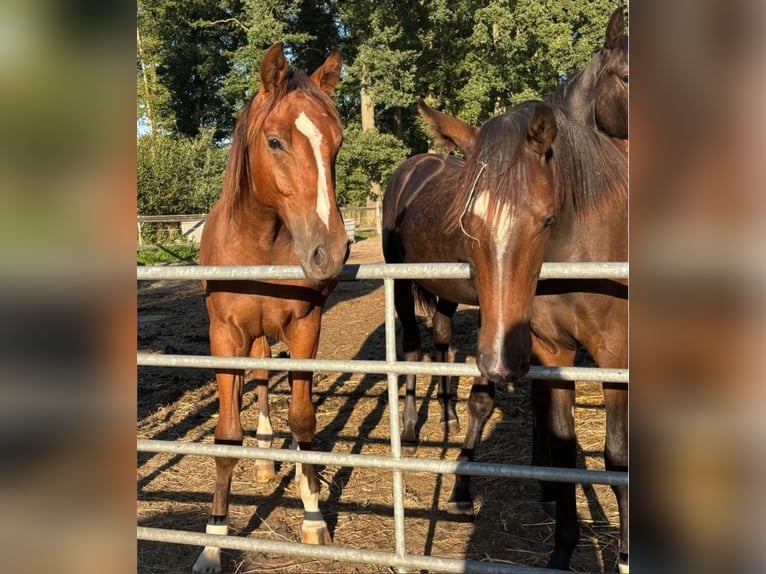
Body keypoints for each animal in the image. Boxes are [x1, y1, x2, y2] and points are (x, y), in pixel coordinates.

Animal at [194, 42, 350, 572]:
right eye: (276, 142)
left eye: (337, 143)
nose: (330, 251)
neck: (258, 241)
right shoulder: (224, 335)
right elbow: (226, 435)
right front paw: (214, 540)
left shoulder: (306, 326)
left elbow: (303, 421)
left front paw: (314, 517)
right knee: (259, 380)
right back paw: (262, 459)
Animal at [384, 99, 632, 572]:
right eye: (468, 222)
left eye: (547, 219)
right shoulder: (550, 350)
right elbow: (563, 450)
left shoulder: (613, 359)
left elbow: (612, 457)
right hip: (402, 284)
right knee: (410, 347)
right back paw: (408, 430)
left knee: (440, 337)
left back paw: (446, 414)